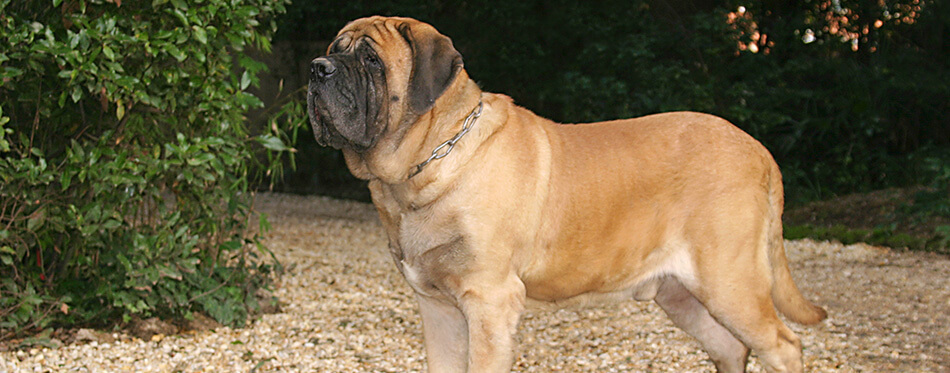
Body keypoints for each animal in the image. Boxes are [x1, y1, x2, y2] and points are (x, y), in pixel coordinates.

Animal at [310, 16, 824, 370]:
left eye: (371, 61)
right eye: (335, 49)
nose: (318, 69)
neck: (424, 165)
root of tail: (759, 150)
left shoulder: (489, 302)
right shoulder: (437, 308)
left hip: (730, 282)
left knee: (783, 345)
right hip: (683, 295)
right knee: (731, 348)